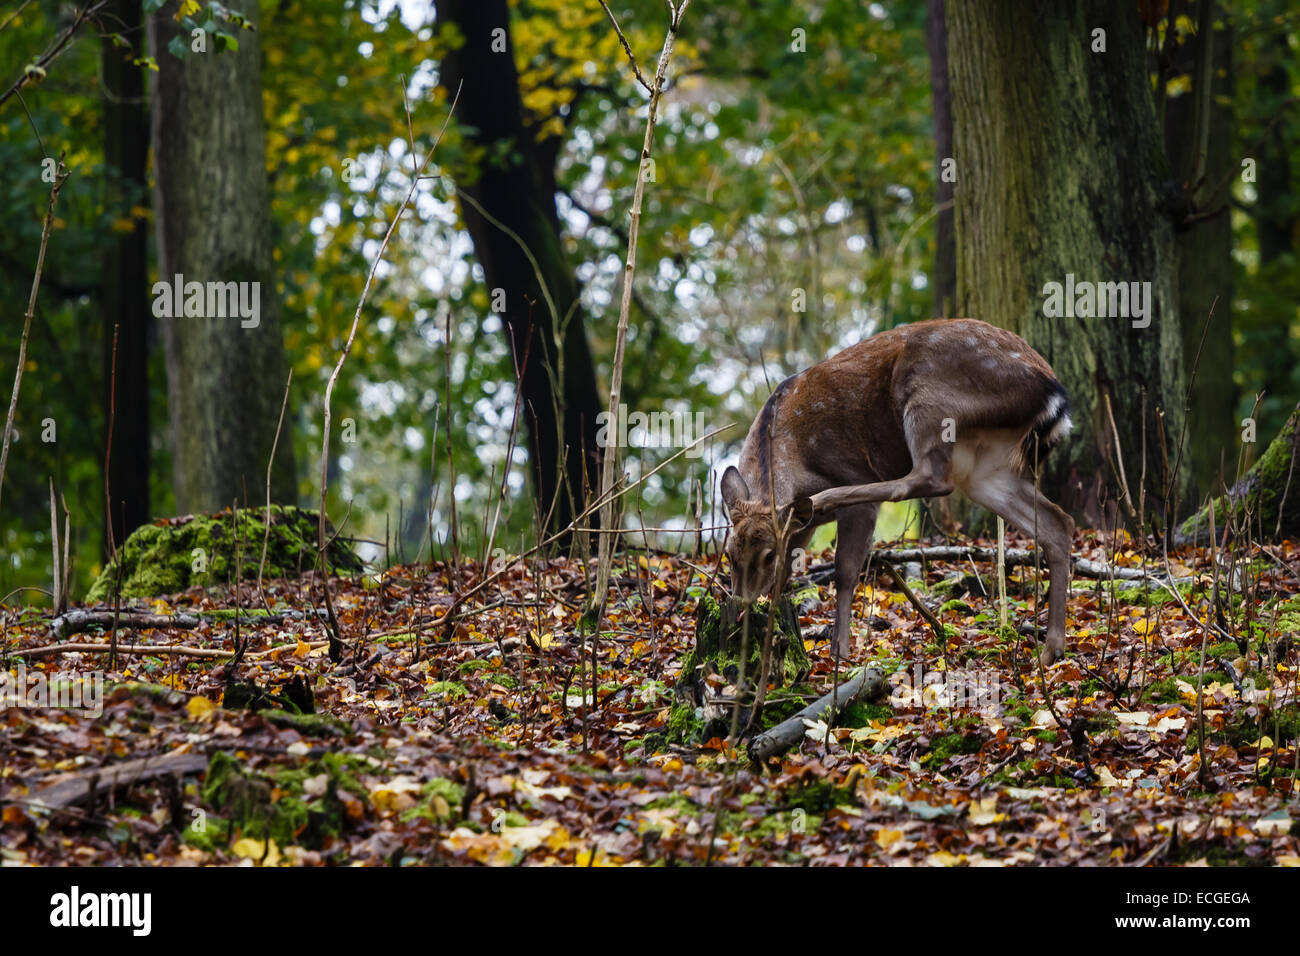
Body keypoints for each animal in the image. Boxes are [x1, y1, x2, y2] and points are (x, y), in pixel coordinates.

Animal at [722, 317, 1076, 671]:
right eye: (728, 554)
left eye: (767, 554)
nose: (741, 605)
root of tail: (1055, 393)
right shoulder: (799, 528)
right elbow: (785, 575)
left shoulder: (850, 504)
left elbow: (844, 571)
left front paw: (839, 653)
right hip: (986, 467)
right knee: (1057, 522)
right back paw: (1051, 651)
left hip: (931, 399)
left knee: (928, 477)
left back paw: (827, 497)